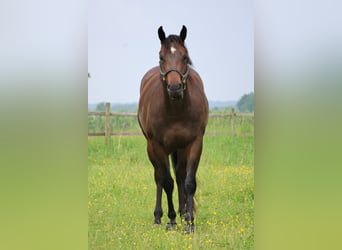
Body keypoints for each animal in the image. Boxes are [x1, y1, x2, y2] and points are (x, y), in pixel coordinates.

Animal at [137, 25, 207, 232]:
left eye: (185, 57)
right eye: (161, 57)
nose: (175, 88)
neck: (176, 111)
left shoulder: (194, 144)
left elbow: (189, 182)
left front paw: (189, 222)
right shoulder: (158, 146)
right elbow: (167, 182)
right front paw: (172, 220)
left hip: (180, 149)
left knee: (180, 176)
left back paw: (183, 213)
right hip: (152, 149)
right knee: (160, 177)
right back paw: (159, 216)